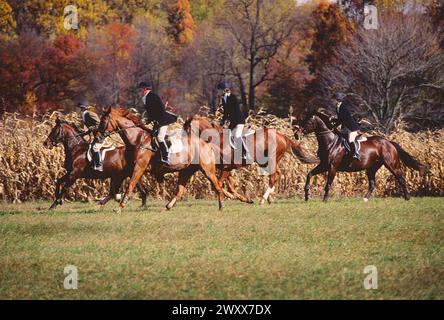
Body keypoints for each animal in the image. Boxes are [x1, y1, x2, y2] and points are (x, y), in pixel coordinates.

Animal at [95, 106, 224, 214]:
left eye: (103, 121)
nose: (97, 138)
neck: (137, 140)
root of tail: (206, 143)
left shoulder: (139, 167)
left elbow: (130, 186)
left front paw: (119, 208)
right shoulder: (128, 169)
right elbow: (116, 188)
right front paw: (101, 204)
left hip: (207, 170)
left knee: (218, 185)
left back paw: (221, 206)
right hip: (186, 171)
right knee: (180, 190)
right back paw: (167, 207)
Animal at [183, 116, 320, 204]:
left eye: (186, 129)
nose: (183, 143)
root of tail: (282, 136)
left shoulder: (227, 168)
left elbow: (219, 184)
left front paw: (233, 197)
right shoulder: (226, 169)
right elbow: (228, 186)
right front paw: (243, 198)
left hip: (270, 160)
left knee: (273, 177)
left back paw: (263, 199)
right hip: (265, 162)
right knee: (277, 174)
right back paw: (270, 198)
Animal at [300, 112, 428, 202]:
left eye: (308, 121)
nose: (298, 133)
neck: (330, 142)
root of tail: (389, 143)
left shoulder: (332, 167)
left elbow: (328, 184)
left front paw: (325, 199)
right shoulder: (324, 165)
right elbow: (309, 174)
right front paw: (306, 195)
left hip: (391, 164)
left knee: (401, 179)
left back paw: (407, 198)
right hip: (371, 168)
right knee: (372, 184)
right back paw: (365, 199)